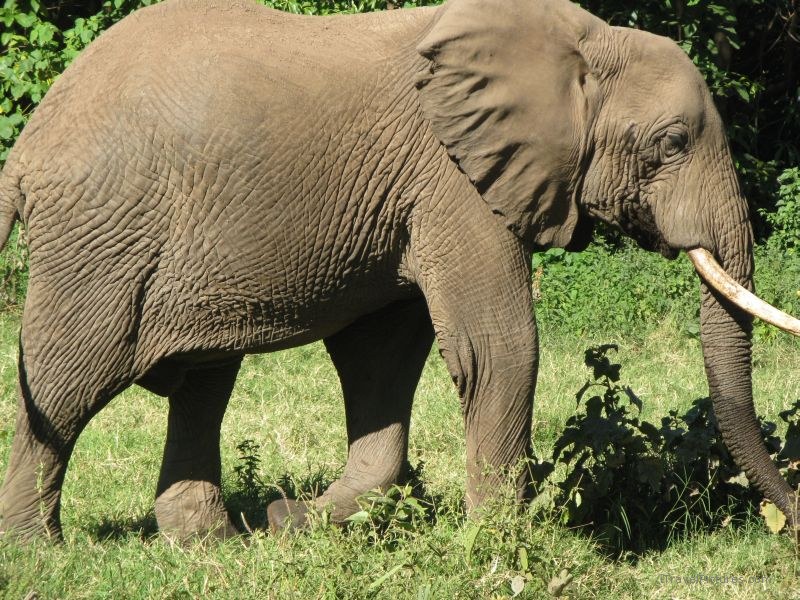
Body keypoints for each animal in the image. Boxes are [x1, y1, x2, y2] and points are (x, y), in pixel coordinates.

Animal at [0, 0, 798, 541]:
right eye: (672, 143)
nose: (784, 518)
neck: (580, 41)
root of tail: (32, 137)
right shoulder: (454, 179)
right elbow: (498, 348)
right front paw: (499, 544)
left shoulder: (412, 196)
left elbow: (380, 359)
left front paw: (297, 522)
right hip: (103, 238)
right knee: (68, 381)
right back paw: (41, 553)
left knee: (202, 380)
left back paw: (211, 546)